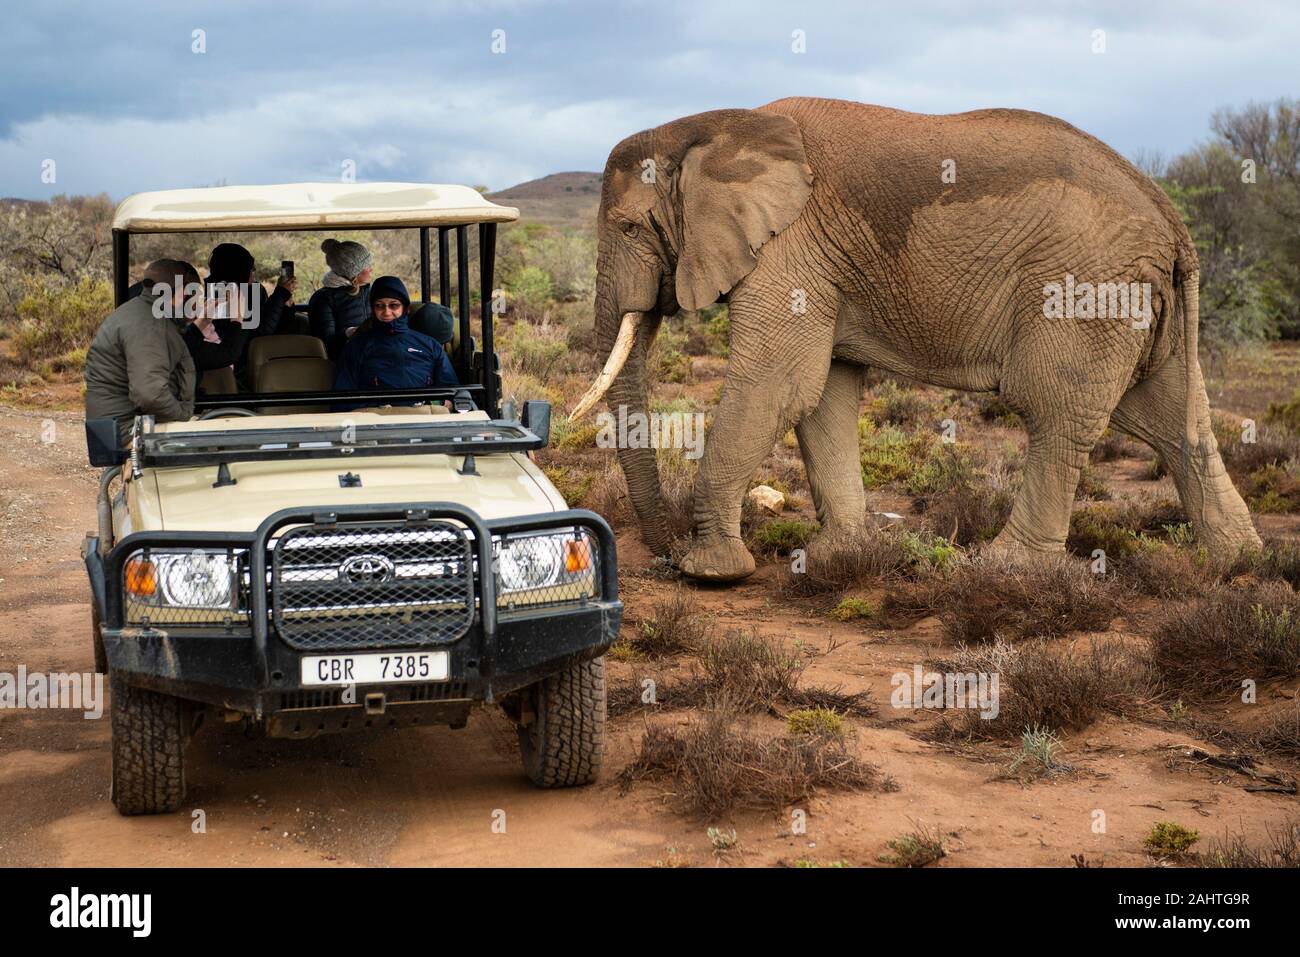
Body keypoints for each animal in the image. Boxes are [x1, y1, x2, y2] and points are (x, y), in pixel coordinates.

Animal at [570, 96, 1262, 581]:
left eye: (629, 227)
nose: (662, 551)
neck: (711, 127)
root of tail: (1171, 218)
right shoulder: (823, 261)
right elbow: (823, 395)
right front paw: (837, 558)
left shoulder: (789, 249)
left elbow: (778, 383)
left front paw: (710, 573)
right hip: (1138, 302)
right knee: (1171, 421)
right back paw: (1238, 564)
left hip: (1083, 289)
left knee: (1056, 413)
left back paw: (1004, 570)